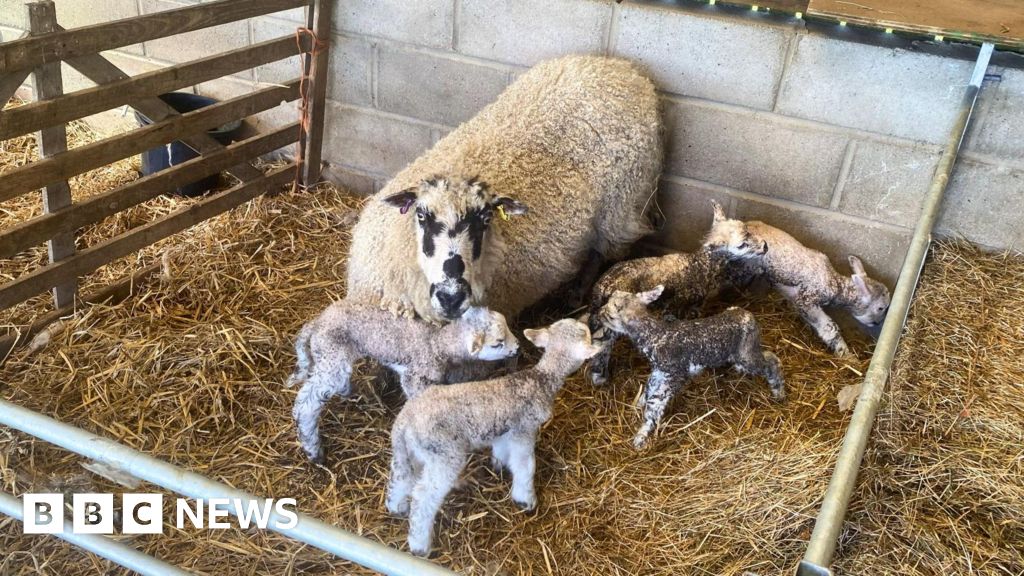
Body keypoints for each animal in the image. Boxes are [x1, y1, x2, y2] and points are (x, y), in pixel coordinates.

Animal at [287, 301, 519, 464]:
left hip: (335, 356)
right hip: (331, 355)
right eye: (497, 343)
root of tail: (316, 324)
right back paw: (314, 451)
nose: (517, 347)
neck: (435, 343)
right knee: (306, 404)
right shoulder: (414, 378)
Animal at [346, 55, 663, 324]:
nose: (452, 296)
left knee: (601, 252)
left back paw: (576, 294)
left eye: (487, 219)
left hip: (621, 208)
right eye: (421, 216)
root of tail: (619, 67)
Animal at [385, 318, 601, 557]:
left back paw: (397, 507)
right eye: (586, 333)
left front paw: (499, 465)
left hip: (412, 451)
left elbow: (501, 451)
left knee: (401, 478)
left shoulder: (504, 430)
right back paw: (420, 545)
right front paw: (525, 499)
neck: (539, 380)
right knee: (423, 495)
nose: (586, 320)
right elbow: (526, 465)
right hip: (443, 452)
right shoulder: (523, 430)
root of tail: (404, 420)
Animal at [596, 286, 785, 448]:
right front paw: (638, 405)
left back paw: (779, 393)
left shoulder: (671, 374)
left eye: (610, 314)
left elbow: (655, 403)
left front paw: (641, 436)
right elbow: (649, 388)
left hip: (746, 354)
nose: (599, 314)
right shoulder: (660, 371)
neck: (655, 335)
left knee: (772, 361)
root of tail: (744, 313)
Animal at [702, 201, 891, 356]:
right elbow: (829, 327)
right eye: (881, 308)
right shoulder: (807, 298)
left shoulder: (794, 297)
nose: (877, 324)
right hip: (741, 267)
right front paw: (846, 355)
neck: (836, 284)